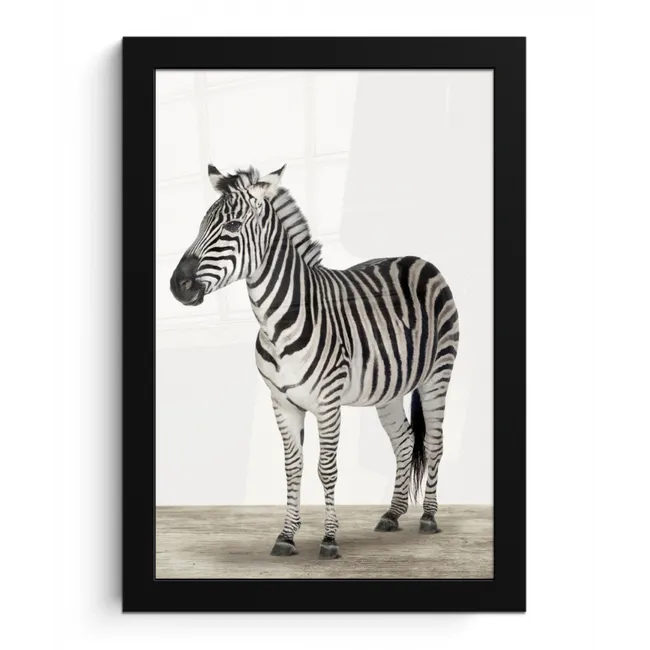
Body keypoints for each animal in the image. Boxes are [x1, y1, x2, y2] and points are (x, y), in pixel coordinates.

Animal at [170, 163, 460, 559]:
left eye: (232, 226)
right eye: (201, 224)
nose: (177, 286)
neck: (276, 322)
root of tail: (419, 259)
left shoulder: (327, 402)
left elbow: (326, 468)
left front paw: (329, 539)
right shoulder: (282, 402)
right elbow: (293, 467)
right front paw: (286, 536)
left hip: (437, 375)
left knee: (434, 443)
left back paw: (429, 517)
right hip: (389, 387)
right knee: (403, 440)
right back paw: (393, 513)